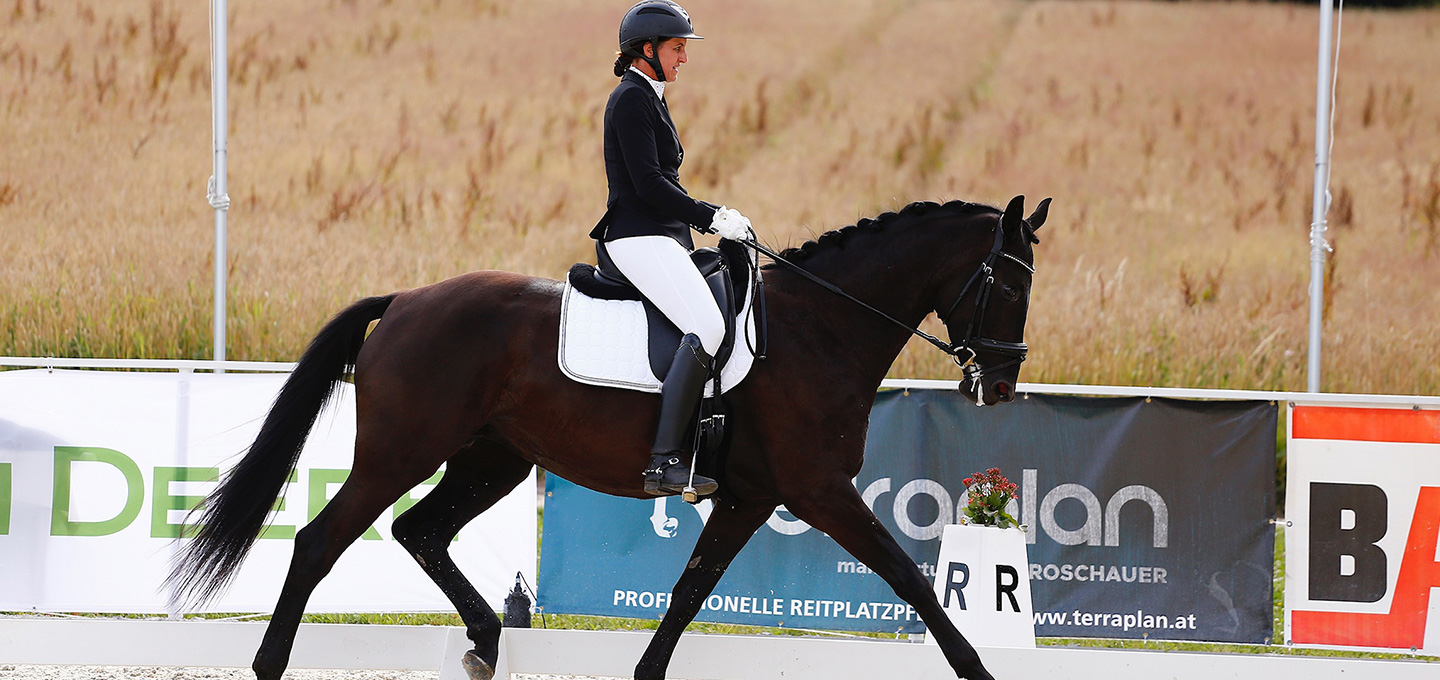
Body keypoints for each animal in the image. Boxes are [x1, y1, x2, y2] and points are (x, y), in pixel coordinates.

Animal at [171, 194, 1048, 677]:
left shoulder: (750, 497)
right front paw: (977, 668)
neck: (822, 326)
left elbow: (690, 591)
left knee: (421, 530)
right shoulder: (819, 491)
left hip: (493, 461)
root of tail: (408, 300)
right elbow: (911, 579)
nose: (1000, 386)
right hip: (400, 453)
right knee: (321, 539)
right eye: (1008, 284)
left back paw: (485, 640)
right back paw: (270, 664)